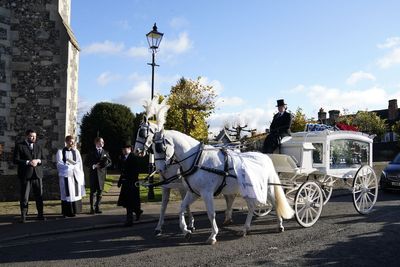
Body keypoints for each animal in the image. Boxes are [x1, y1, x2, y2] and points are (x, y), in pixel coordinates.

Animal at [152, 130, 294, 245]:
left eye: (160, 148)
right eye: (151, 149)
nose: (159, 170)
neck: (197, 160)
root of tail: (265, 157)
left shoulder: (207, 193)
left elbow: (211, 213)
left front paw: (213, 235)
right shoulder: (194, 193)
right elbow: (181, 208)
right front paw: (186, 230)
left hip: (267, 188)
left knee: (274, 203)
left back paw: (280, 225)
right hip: (247, 190)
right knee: (251, 207)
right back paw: (245, 229)